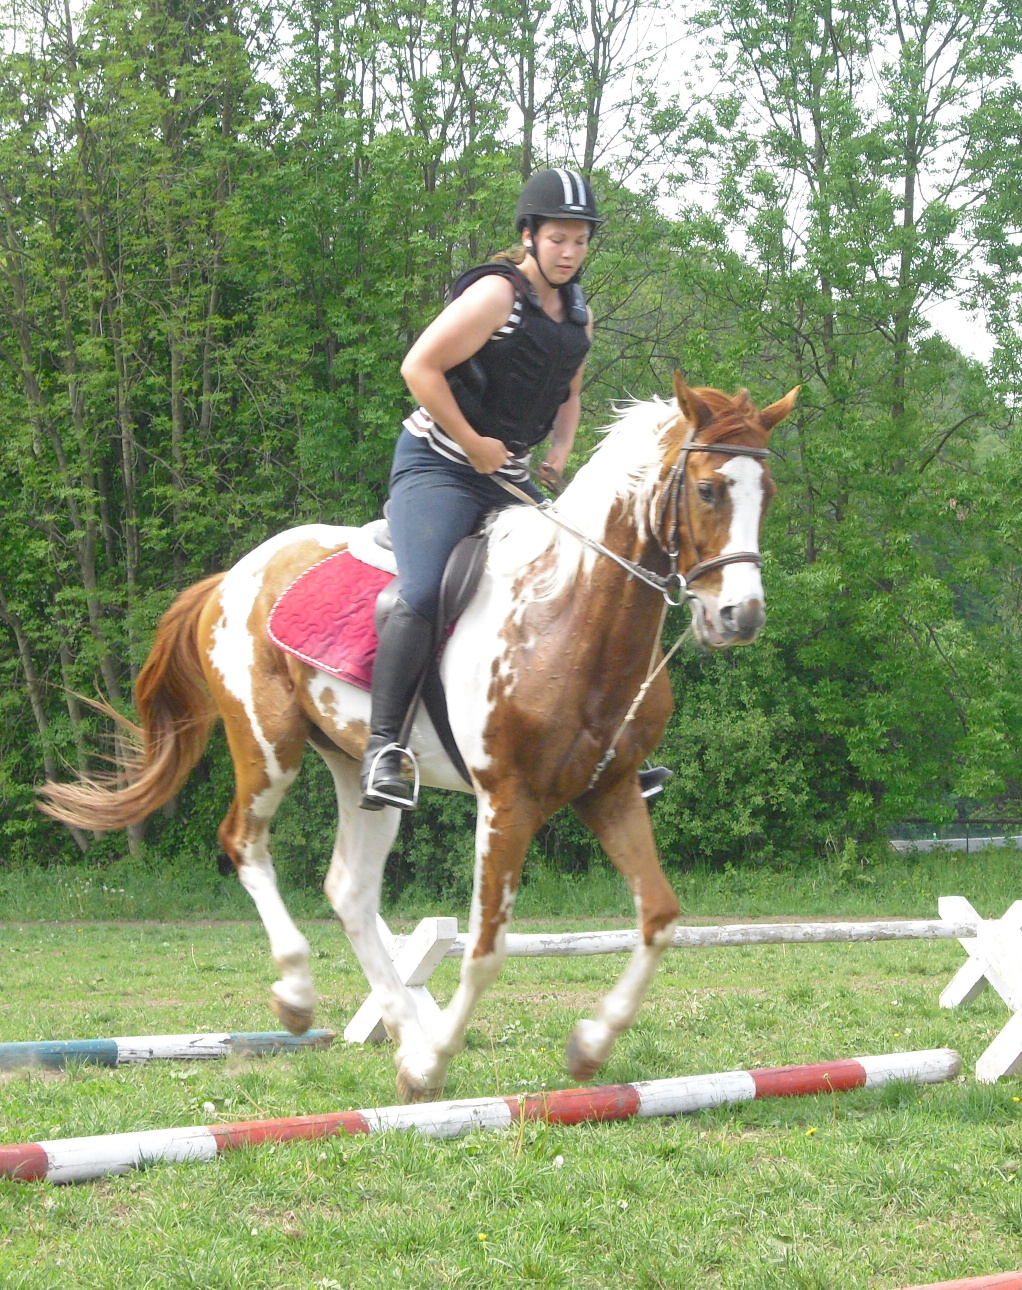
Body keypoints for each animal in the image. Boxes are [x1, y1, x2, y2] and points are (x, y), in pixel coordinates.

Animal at [40, 371, 800, 1099]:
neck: (568, 611)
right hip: (266, 743)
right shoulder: (507, 801)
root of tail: (235, 574)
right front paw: (434, 1065)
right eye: (707, 488)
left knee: (350, 888)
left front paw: (588, 1045)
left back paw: (403, 1032)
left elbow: (660, 916)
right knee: (245, 842)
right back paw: (301, 996)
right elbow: (487, 947)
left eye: (768, 492)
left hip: (359, 766)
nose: (741, 617)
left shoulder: (609, 790)